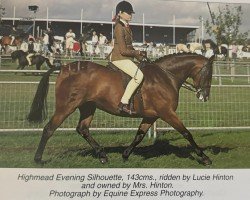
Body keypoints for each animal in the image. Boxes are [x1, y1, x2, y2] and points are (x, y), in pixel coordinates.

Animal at [27, 53, 215, 166]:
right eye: (209, 74)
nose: (205, 96)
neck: (165, 76)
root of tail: (64, 67)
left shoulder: (151, 116)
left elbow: (139, 135)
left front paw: (125, 155)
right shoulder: (167, 113)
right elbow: (186, 133)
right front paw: (204, 157)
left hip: (88, 107)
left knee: (83, 129)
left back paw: (103, 156)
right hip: (67, 106)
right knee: (49, 129)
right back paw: (38, 159)